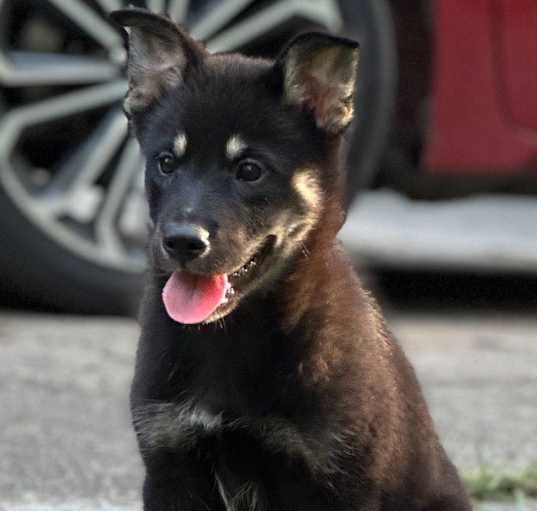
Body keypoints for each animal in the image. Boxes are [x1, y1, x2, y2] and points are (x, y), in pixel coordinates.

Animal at [112, 8, 468, 511]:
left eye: (249, 170)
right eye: (166, 163)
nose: (182, 241)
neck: (232, 337)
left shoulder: (334, 476)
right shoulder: (170, 461)